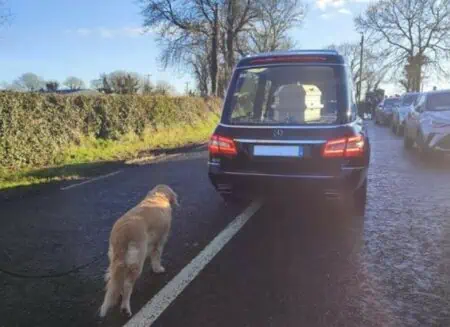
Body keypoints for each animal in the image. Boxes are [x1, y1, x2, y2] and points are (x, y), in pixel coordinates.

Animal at [99, 184, 178, 318]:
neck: (157, 197)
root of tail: (122, 233)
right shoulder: (160, 241)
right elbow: (156, 256)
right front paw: (158, 269)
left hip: (115, 257)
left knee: (114, 278)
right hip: (137, 261)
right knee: (127, 285)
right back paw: (125, 307)